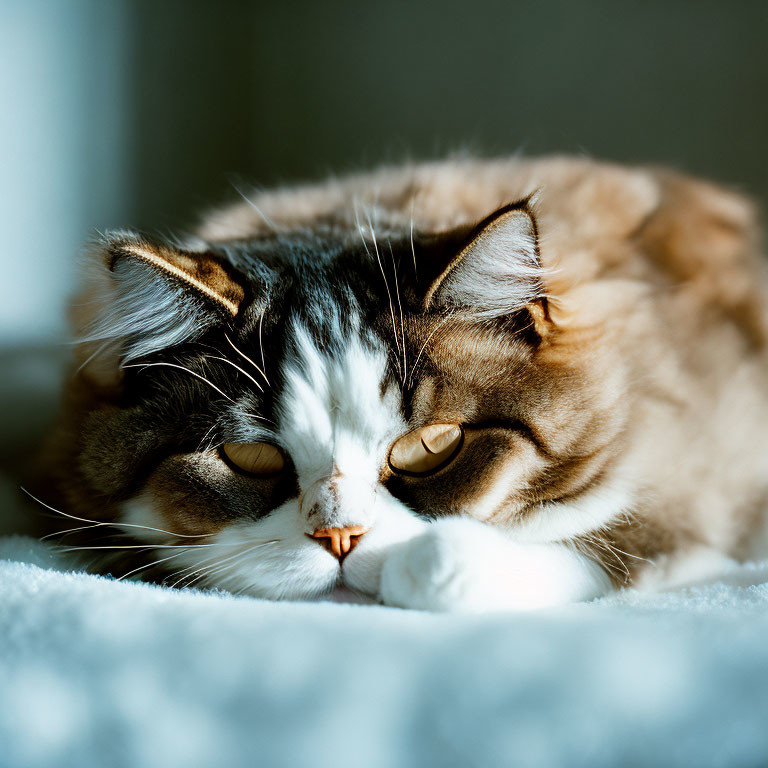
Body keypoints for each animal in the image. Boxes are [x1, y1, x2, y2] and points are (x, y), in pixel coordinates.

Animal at [34, 156, 768, 612]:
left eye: (430, 447)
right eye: (250, 457)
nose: (341, 539)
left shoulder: (688, 484)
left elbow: (574, 539)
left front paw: (416, 562)